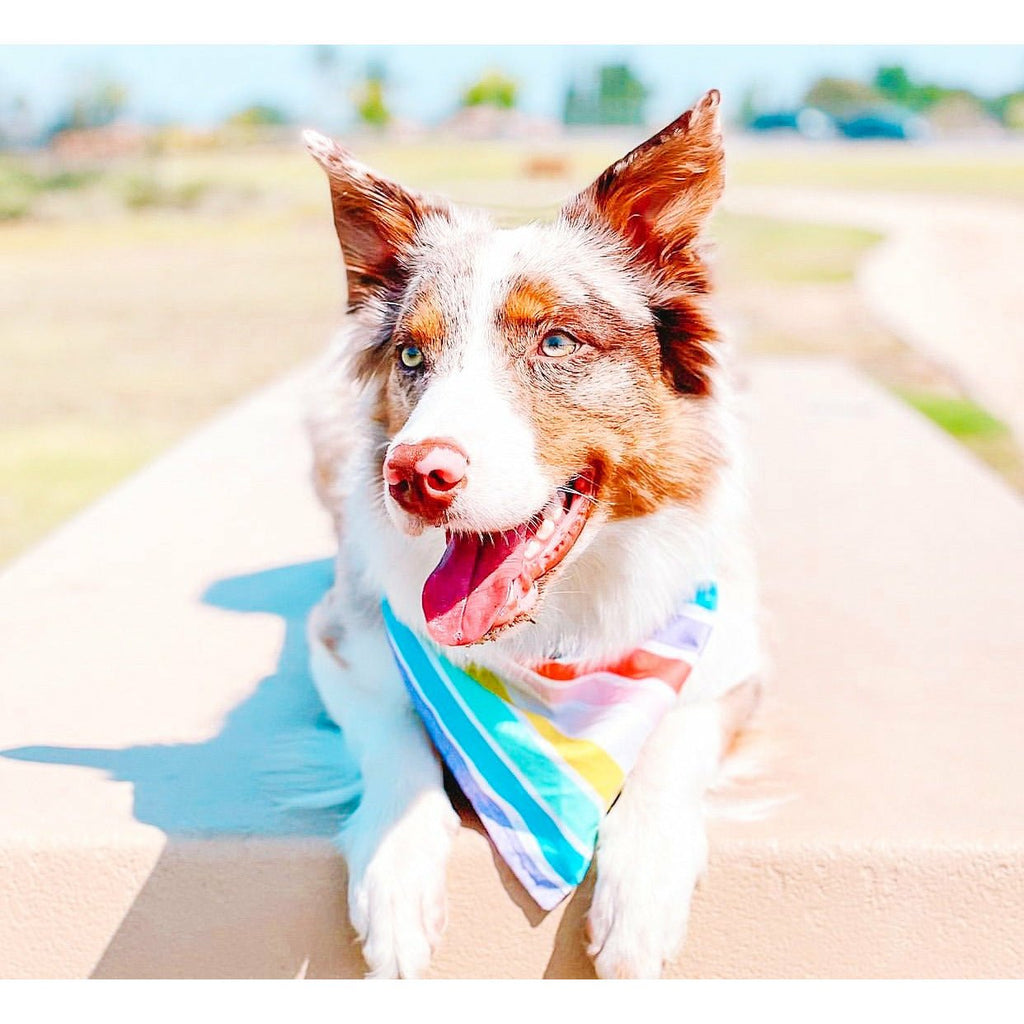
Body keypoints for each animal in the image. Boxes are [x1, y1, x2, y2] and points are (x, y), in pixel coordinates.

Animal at [301, 92, 761, 978]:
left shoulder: (732, 655)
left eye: (555, 341)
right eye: (412, 355)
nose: (411, 475)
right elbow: (393, 728)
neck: (551, 633)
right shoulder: (336, 635)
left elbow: (676, 732)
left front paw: (640, 894)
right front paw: (396, 877)